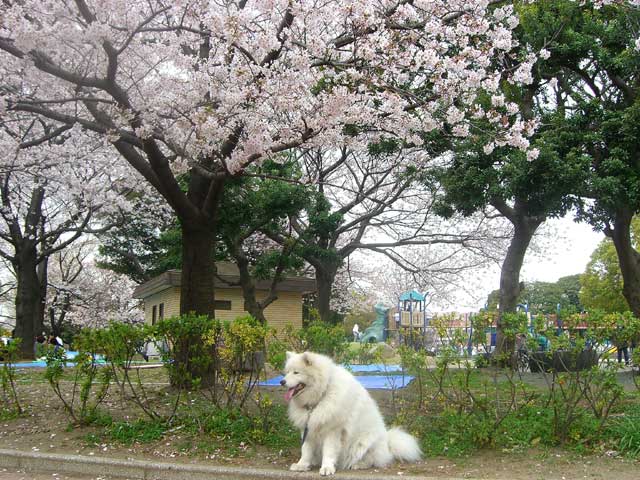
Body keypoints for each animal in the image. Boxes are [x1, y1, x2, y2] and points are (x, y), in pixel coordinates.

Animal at [280, 350, 420, 474]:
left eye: (296, 372)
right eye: (286, 373)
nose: (282, 382)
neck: (321, 396)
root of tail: (388, 443)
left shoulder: (333, 430)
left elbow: (328, 451)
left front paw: (327, 468)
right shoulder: (308, 428)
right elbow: (306, 450)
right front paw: (302, 465)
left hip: (364, 442)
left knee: (372, 460)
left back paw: (358, 464)